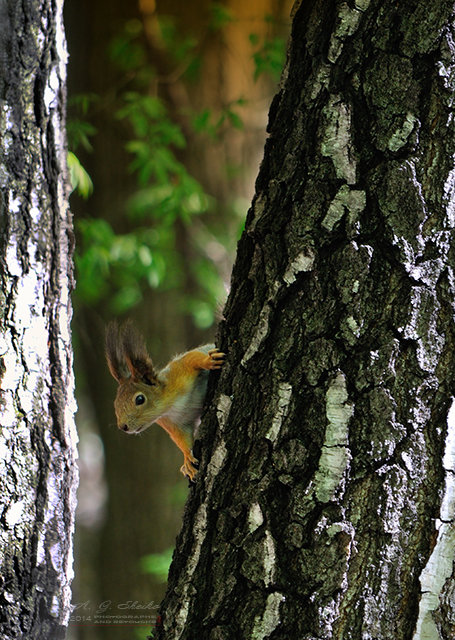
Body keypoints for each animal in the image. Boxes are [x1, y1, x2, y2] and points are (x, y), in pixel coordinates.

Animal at [104, 320, 224, 480]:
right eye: (115, 403)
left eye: (140, 399)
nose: (123, 426)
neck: (169, 405)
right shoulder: (173, 423)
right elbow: (182, 439)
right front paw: (187, 459)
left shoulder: (178, 370)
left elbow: (192, 358)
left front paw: (208, 360)